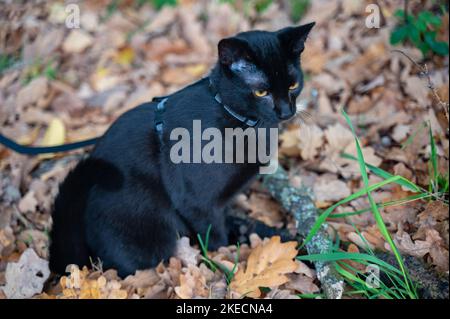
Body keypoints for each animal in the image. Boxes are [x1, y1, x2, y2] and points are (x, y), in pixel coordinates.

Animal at [48, 23, 312, 278]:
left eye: (293, 84)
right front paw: (222, 257)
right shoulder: (196, 202)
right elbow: (215, 238)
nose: (286, 112)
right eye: (261, 92)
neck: (240, 121)